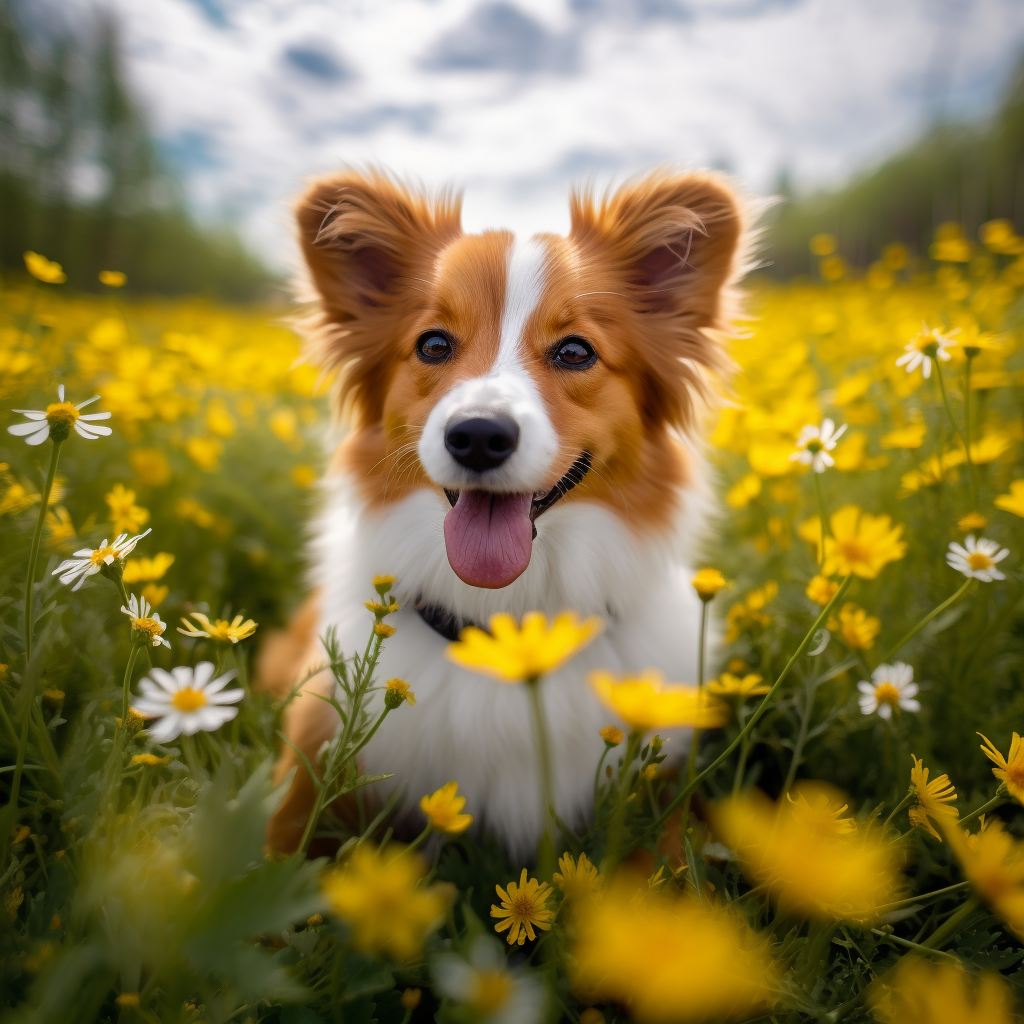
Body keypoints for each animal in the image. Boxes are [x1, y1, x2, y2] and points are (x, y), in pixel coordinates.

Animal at [260, 165, 749, 856]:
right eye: (434, 344)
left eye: (575, 352)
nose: (478, 436)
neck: (510, 626)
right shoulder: (302, 777)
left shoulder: (665, 797)